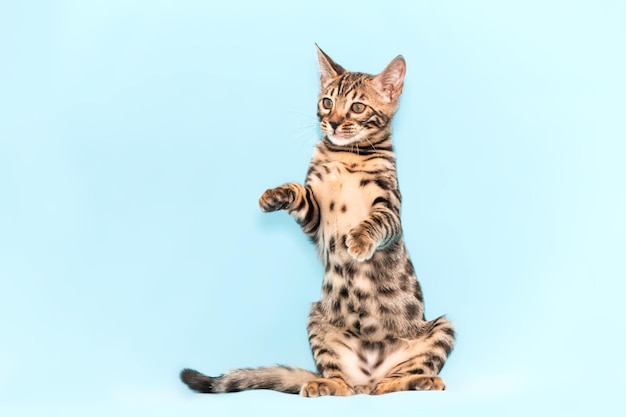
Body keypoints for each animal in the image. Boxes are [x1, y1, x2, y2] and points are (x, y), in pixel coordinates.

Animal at [180, 45, 454, 396]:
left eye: (357, 107)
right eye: (327, 102)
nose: (333, 123)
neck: (346, 155)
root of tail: (369, 377)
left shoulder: (391, 207)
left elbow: (377, 221)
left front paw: (360, 240)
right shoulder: (315, 217)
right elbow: (298, 191)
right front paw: (274, 195)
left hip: (443, 327)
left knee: (396, 381)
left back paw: (420, 380)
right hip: (316, 321)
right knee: (343, 382)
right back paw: (325, 384)